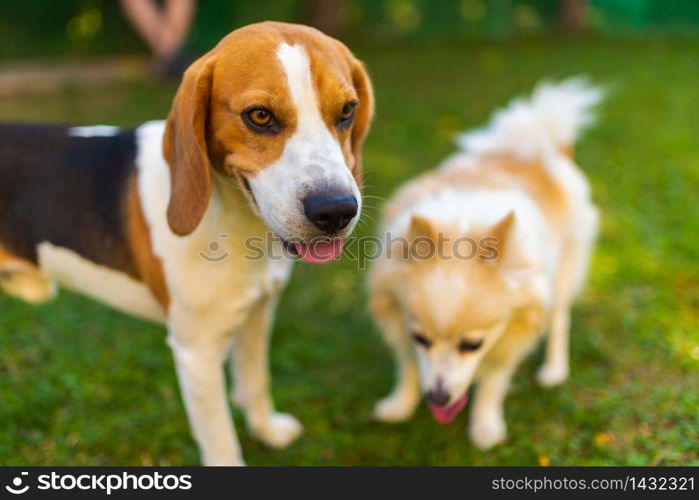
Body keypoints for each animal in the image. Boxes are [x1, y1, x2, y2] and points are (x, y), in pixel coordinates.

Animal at [0, 20, 374, 464]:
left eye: (347, 111)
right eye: (260, 116)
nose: (336, 211)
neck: (236, 221)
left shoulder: (259, 312)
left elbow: (255, 382)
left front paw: (266, 430)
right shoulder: (197, 352)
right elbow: (221, 440)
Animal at [370, 78, 604, 450]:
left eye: (472, 346)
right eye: (420, 339)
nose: (437, 398)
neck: (461, 227)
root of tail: (543, 146)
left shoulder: (512, 333)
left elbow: (493, 383)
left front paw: (485, 428)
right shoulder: (399, 321)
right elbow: (407, 366)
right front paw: (399, 405)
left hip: (566, 268)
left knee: (559, 318)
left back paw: (554, 370)